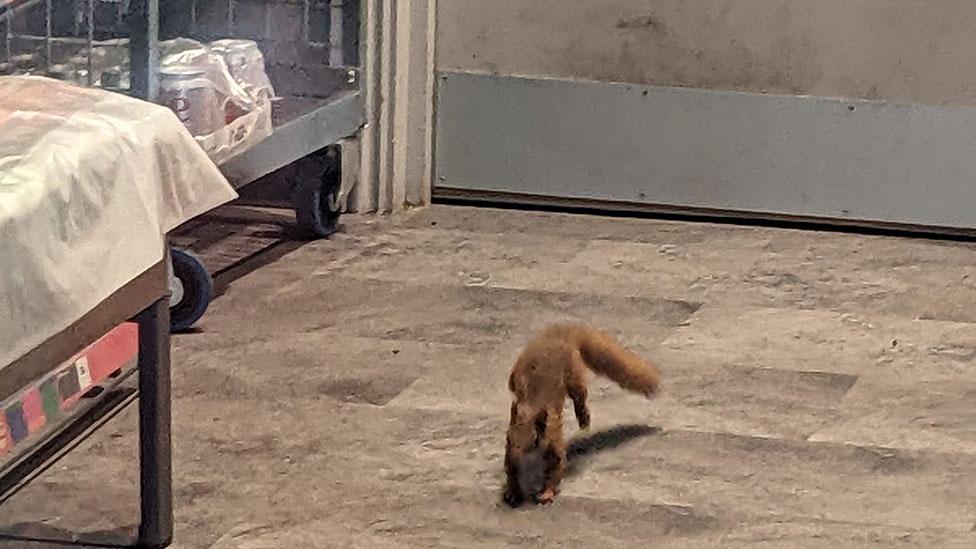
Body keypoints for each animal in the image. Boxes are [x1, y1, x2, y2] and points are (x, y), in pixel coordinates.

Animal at [504, 324, 656, 508]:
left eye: (527, 441)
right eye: (509, 437)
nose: (518, 454)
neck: (533, 406)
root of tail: (560, 330)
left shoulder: (553, 432)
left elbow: (556, 461)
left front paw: (546, 493)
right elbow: (511, 468)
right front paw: (513, 493)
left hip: (573, 373)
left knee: (580, 394)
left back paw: (584, 418)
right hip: (514, 376)